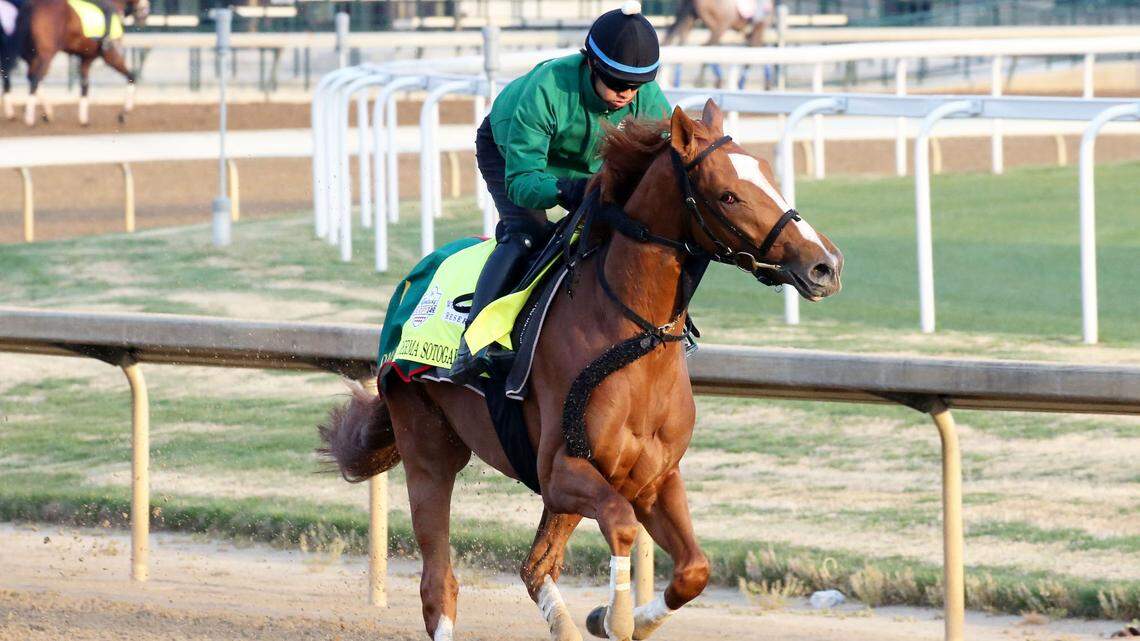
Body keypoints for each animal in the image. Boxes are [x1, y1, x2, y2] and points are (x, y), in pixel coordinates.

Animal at [0, 0, 148, 126]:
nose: (145, 10)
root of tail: (31, 6)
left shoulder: (86, 58)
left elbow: (84, 85)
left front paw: (84, 119)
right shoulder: (111, 56)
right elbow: (131, 77)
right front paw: (124, 113)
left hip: (31, 55)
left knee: (30, 77)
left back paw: (43, 113)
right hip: (46, 54)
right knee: (34, 78)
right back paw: (29, 118)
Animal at [318, 100, 843, 641]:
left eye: (769, 174)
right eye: (728, 194)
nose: (825, 265)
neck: (634, 335)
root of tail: (410, 285)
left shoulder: (653, 476)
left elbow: (694, 569)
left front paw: (607, 618)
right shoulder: (562, 469)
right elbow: (621, 523)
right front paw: (615, 617)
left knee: (536, 567)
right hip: (427, 445)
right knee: (439, 582)